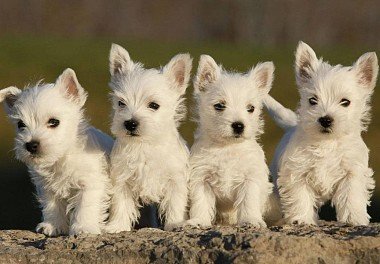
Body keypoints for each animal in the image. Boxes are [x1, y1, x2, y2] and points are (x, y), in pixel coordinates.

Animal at [0, 68, 113, 235]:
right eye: (21, 124)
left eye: (54, 122)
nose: (31, 145)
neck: (61, 158)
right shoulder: (47, 187)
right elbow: (51, 206)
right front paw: (53, 225)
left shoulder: (91, 182)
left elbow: (86, 205)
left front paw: (83, 227)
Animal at [104, 43, 191, 231]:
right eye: (121, 103)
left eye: (154, 105)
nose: (130, 123)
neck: (144, 144)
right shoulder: (122, 180)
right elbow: (120, 205)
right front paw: (116, 226)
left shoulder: (175, 180)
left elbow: (175, 205)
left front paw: (175, 223)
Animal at [188, 55, 274, 227]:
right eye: (219, 106)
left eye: (251, 108)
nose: (239, 125)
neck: (227, 147)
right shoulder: (201, 178)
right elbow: (201, 202)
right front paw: (199, 221)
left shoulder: (250, 178)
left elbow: (249, 201)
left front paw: (250, 220)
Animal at [264, 42, 378, 226]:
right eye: (313, 100)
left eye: (345, 102)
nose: (325, 119)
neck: (327, 142)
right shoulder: (297, 173)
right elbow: (300, 197)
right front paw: (302, 219)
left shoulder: (352, 172)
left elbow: (351, 196)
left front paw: (354, 218)